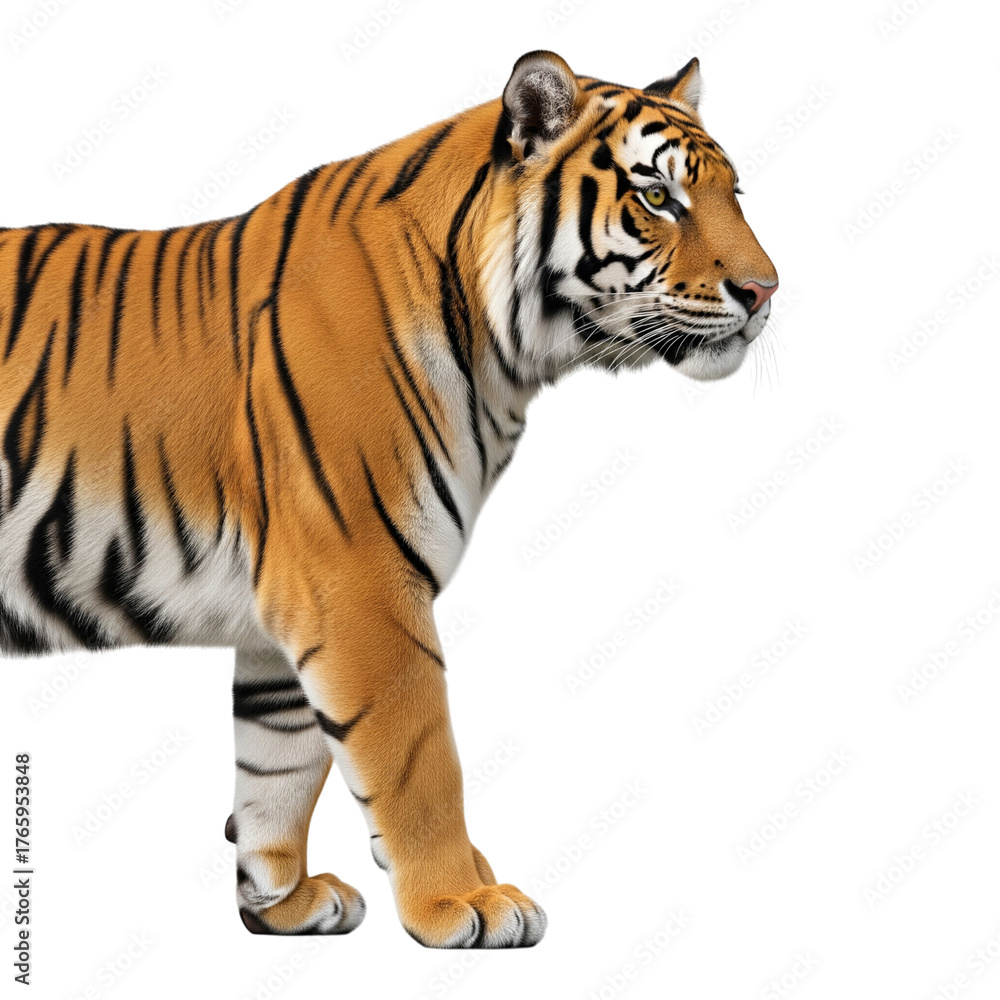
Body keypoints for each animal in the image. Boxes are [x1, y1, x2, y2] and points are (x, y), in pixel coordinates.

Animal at [0, 51, 777, 948]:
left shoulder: (280, 610)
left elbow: (277, 760)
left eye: (732, 194)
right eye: (657, 197)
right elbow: (418, 756)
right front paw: (463, 900)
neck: (500, 357)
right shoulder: (359, 580)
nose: (767, 291)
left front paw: (281, 901)